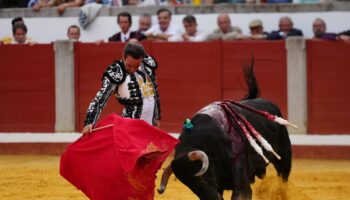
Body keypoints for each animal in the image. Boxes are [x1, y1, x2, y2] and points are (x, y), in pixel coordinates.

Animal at [158, 63, 292, 200]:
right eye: (190, 186)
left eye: (202, 178)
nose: (210, 198)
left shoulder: (240, 174)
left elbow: (240, 193)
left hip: (284, 155)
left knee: (283, 178)